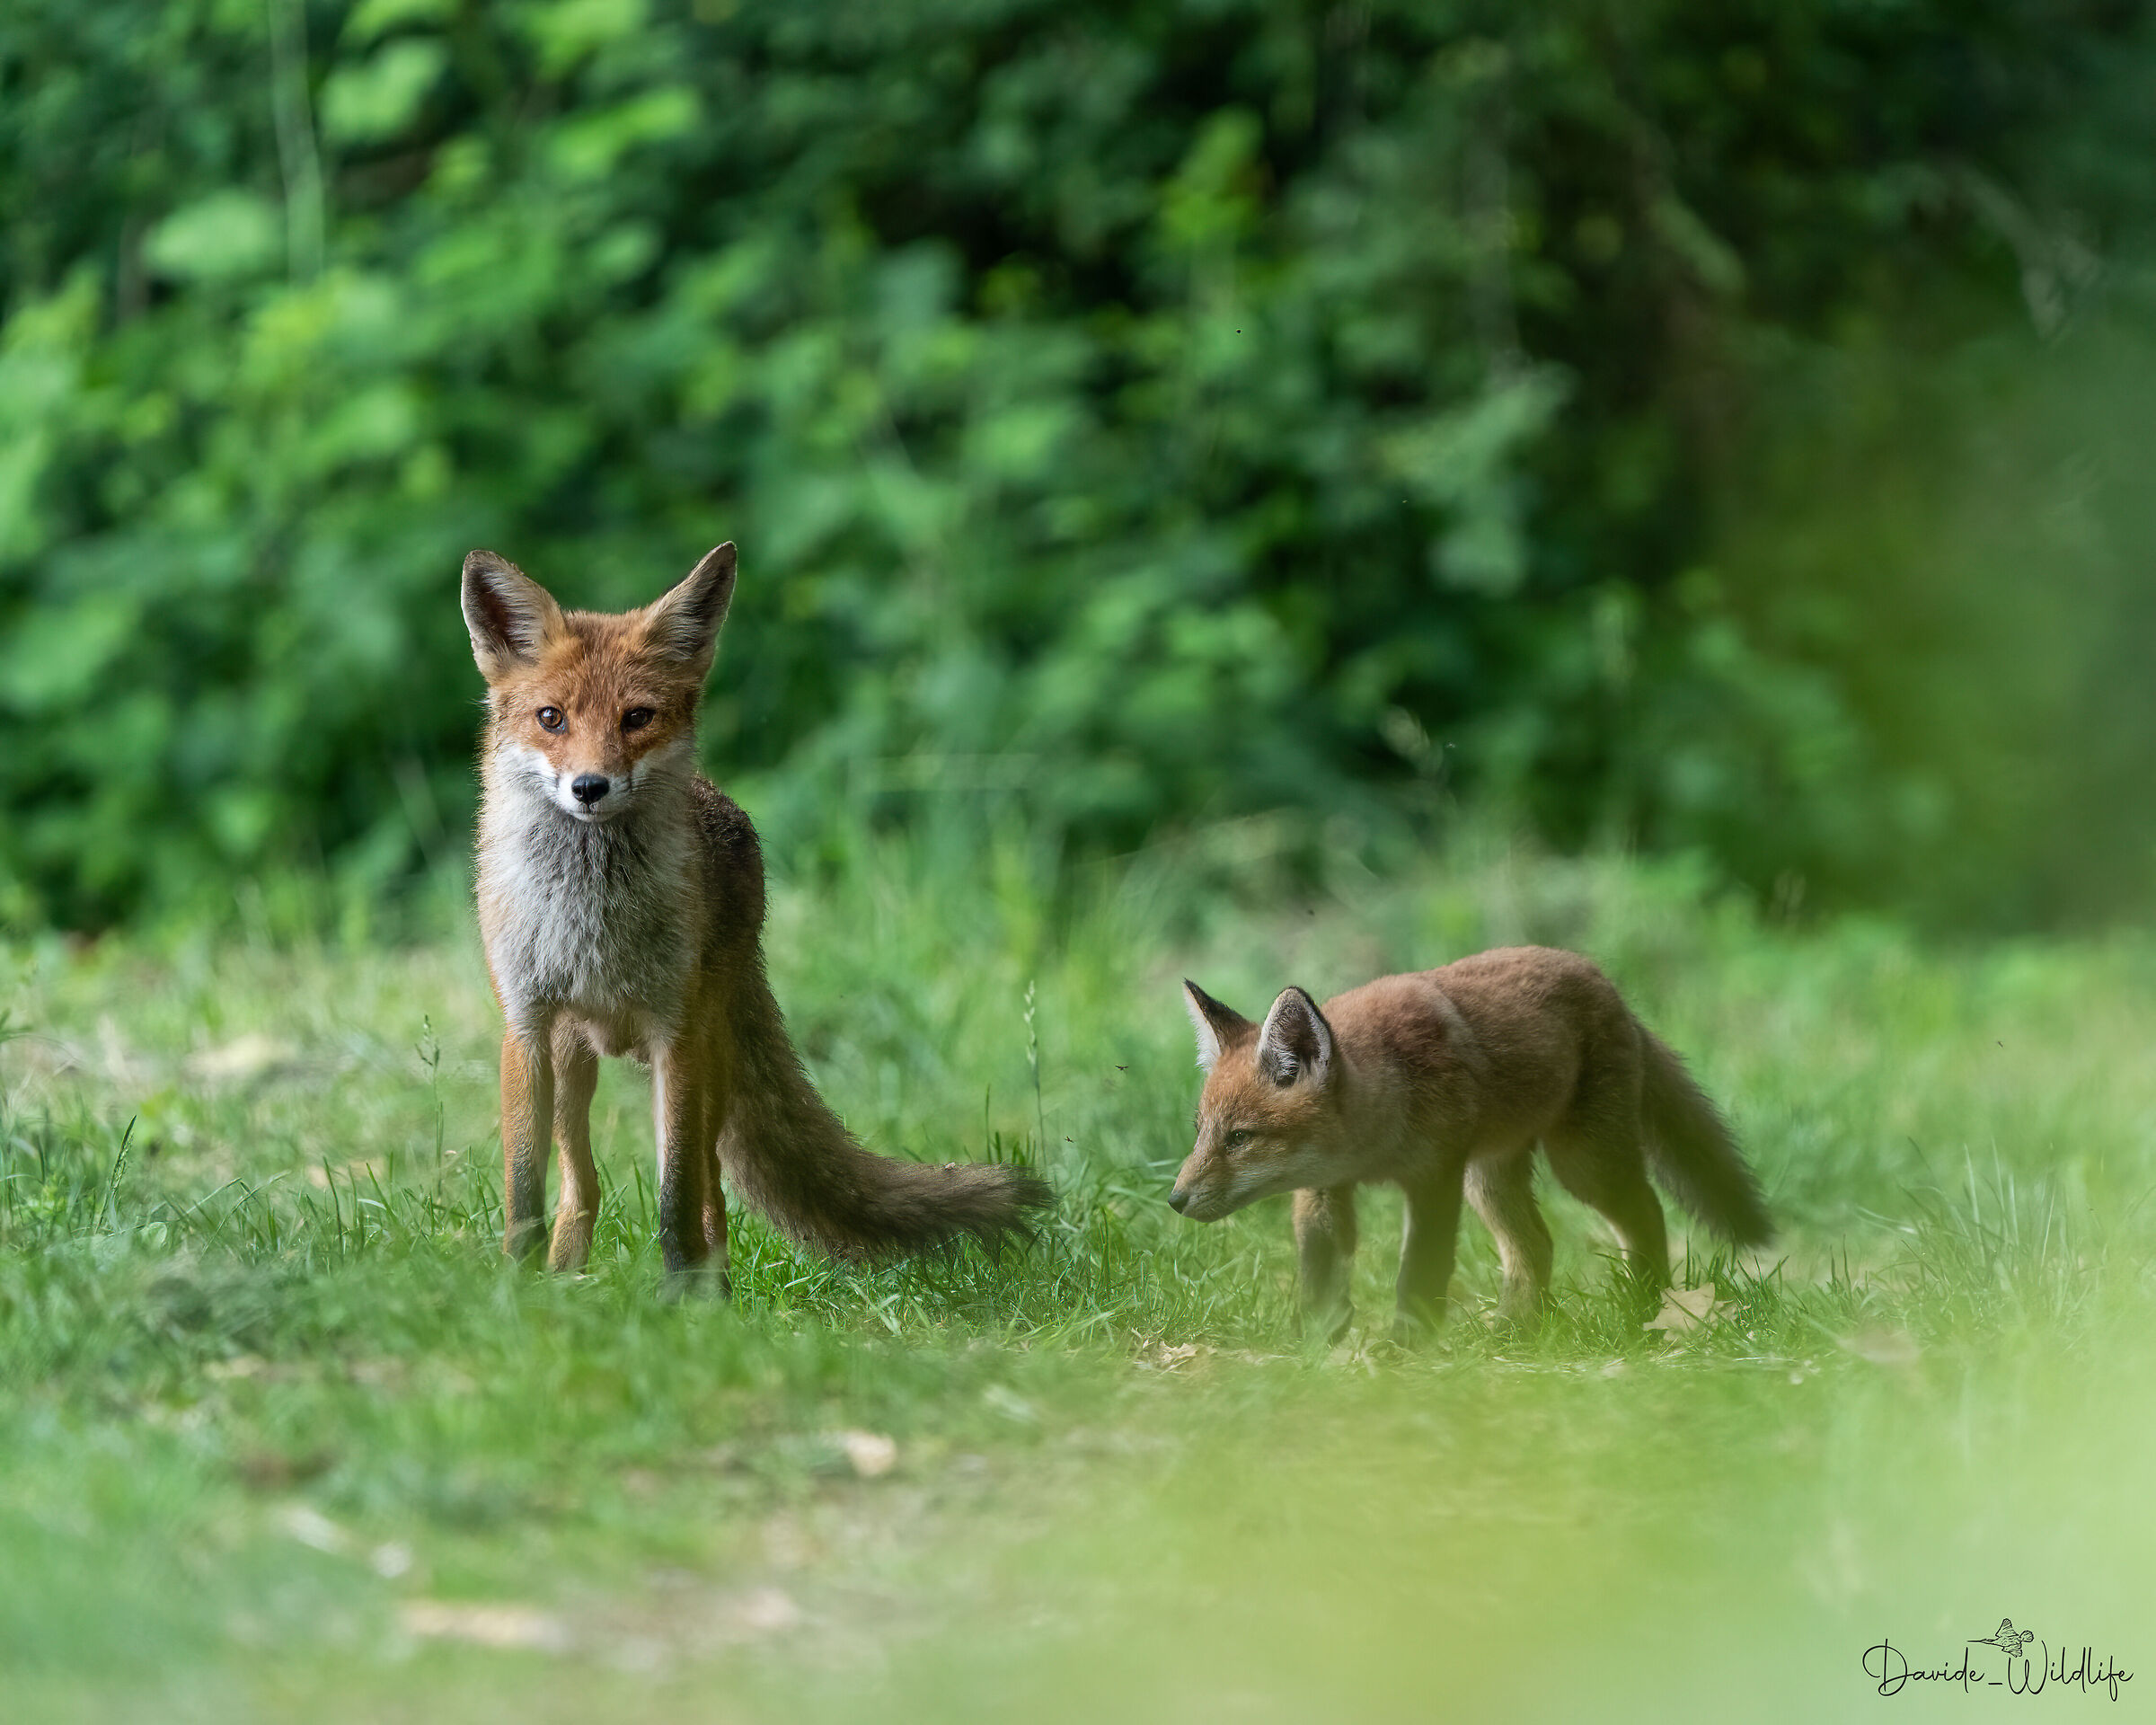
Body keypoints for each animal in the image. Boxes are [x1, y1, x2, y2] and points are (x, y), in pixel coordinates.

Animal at [460, 542, 1051, 1288]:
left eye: (637, 718)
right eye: (551, 718)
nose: (589, 787)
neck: (591, 921)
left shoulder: (676, 1034)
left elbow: (676, 1199)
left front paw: (681, 1297)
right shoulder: (526, 1027)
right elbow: (523, 1191)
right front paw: (514, 1288)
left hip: (708, 1055)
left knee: (710, 1191)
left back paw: (711, 1290)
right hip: (576, 1064)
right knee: (581, 1189)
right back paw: (570, 1282)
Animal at [1170, 946, 1771, 1339]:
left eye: (1240, 1138)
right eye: (1200, 1133)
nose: (1175, 1199)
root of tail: (1605, 980)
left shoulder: (1434, 1178)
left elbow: (1419, 1275)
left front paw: (1405, 1349)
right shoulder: (1322, 1191)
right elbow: (1319, 1279)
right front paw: (1316, 1345)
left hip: (1582, 1164)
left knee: (1646, 1211)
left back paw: (1644, 1306)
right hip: (1491, 1179)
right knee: (1537, 1245)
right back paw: (1515, 1331)